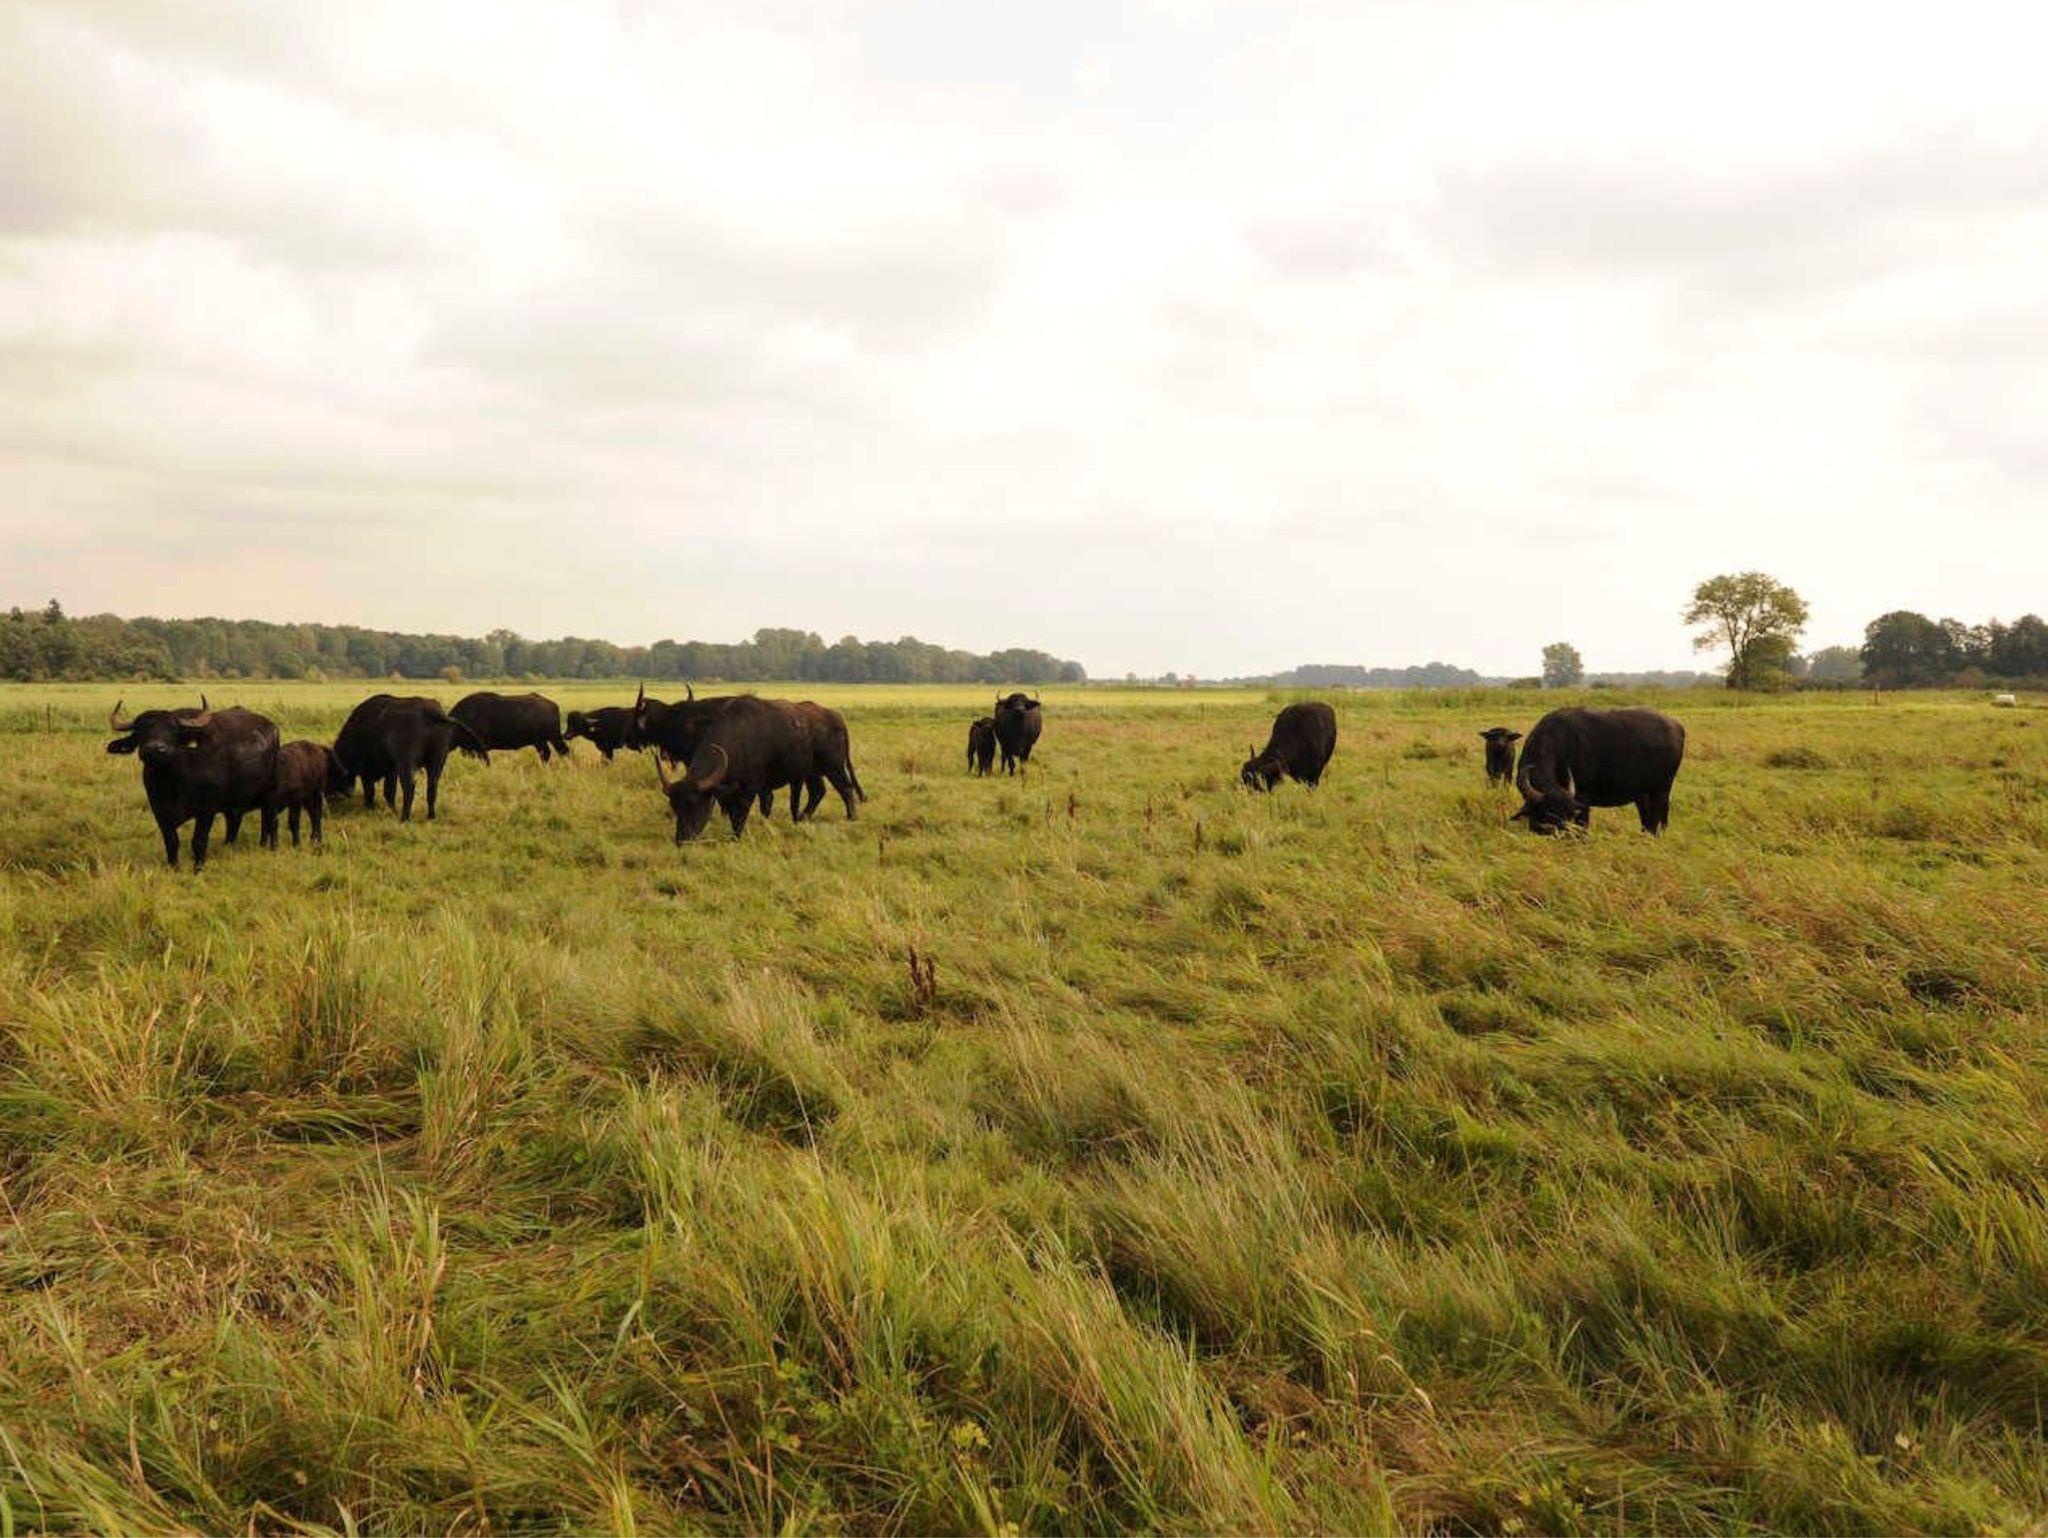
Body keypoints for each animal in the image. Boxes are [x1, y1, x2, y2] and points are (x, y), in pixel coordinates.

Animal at [105, 697, 279, 870]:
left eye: (173, 730)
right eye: (140, 731)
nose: (154, 748)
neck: (172, 783)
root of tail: (272, 728)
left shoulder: (206, 810)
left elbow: (199, 841)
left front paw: (198, 867)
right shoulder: (159, 812)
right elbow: (171, 841)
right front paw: (174, 866)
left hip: (271, 792)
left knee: (269, 819)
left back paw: (268, 845)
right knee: (234, 821)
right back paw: (228, 845)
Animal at [329, 694, 481, 822]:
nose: (331, 799)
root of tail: (429, 711)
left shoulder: (368, 772)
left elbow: (371, 791)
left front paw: (370, 807)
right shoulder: (391, 771)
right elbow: (389, 791)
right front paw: (391, 809)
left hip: (407, 764)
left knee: (409, 788)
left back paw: (404, 817)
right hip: (437, 762)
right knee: (432, 787)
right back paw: (431, 816)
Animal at [650, 695, 813, 841]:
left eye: (695, 804)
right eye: (674, 806)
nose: (682, 839)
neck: (739, 741)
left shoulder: (749, 791)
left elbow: (739, 817)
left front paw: (736, 837)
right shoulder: (727, 794)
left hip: (800, 777)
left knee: (797, 800)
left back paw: (796, 820)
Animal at [1511, 707, 1686, 835]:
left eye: (1568, 814)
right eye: (1550, 814)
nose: (1563, 833)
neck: (1560, 743)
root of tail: (1677, 726)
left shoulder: (1582, 799)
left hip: (1662, 790)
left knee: (1658, 817)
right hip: (1643, 795)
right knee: (1647, 818)